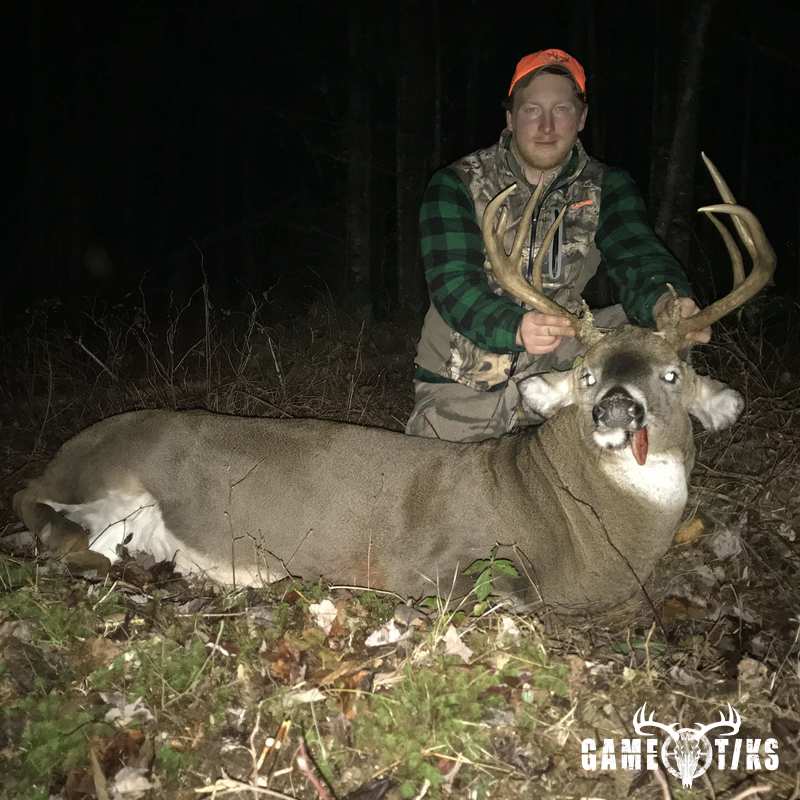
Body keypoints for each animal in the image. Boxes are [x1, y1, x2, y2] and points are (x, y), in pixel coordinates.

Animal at [12, 155, 774, 612]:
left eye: (673, 373)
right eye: (586, 376)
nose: (617, 408)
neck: (585, 533)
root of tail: (71, 447)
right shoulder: (447, 565)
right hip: (111, 470)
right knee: (38, 510)